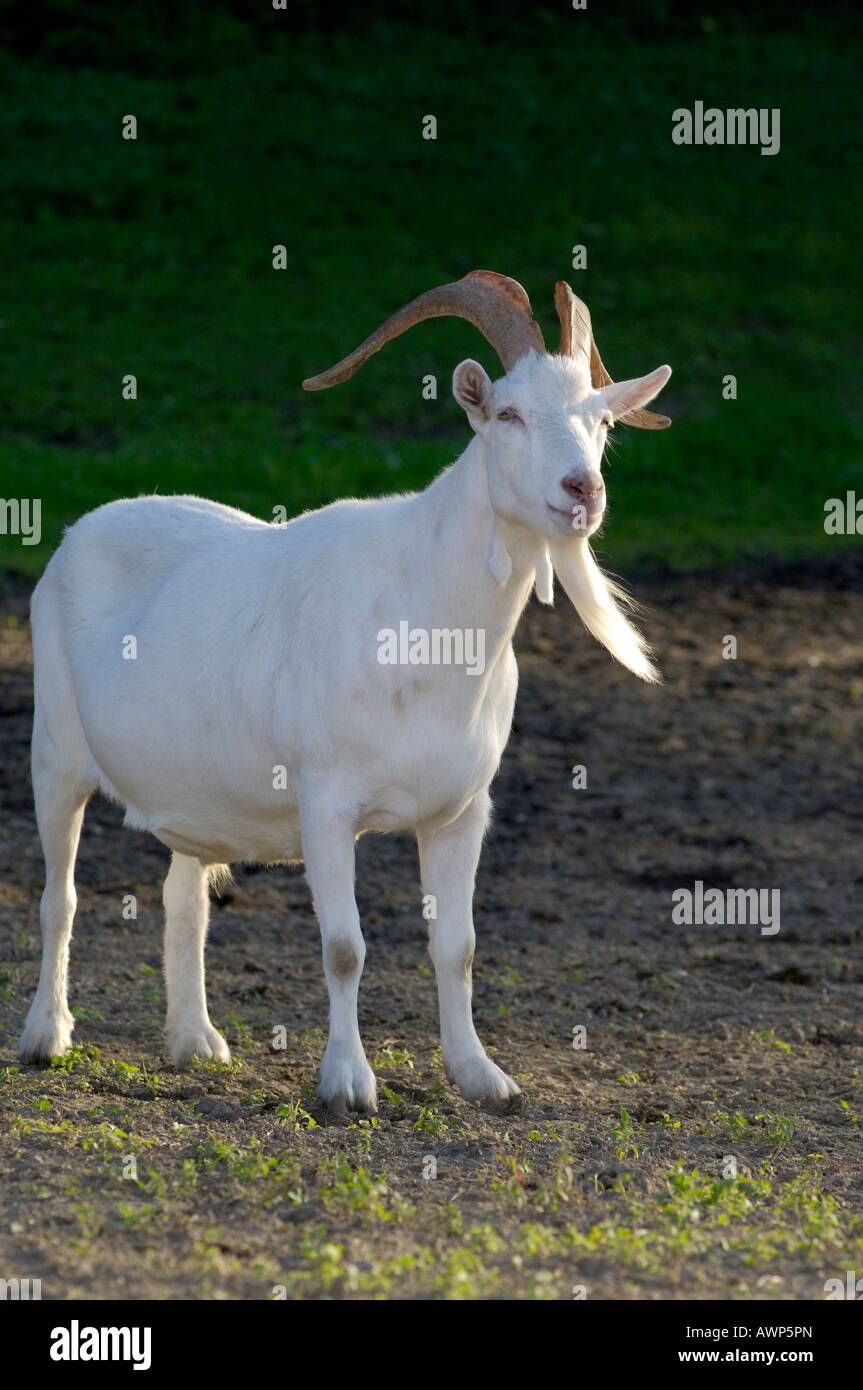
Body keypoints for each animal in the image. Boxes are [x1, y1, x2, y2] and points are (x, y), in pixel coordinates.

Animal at [18, 271, 667, 1112]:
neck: (425, 626)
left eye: (602, 423)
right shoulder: (324, 801)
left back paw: (195, 1041)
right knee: (58, 896)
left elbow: (457, 946)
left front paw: (479, 1074)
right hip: (55, 752)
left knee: (182, 897)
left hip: (193, 789)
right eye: (508, 413)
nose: (580, 490)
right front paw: (348, 1083)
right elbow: (344, 947)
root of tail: (83, 530)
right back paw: (46, 1036)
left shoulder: (462, 810)